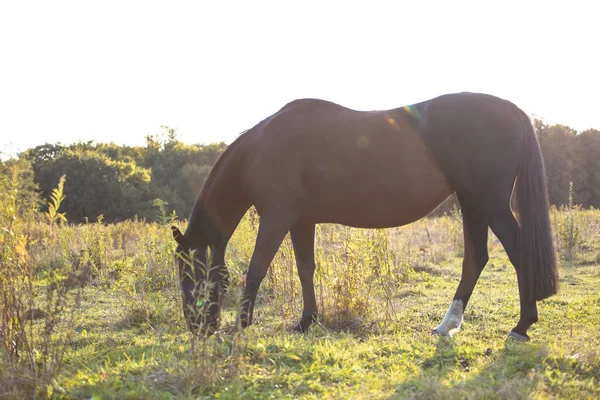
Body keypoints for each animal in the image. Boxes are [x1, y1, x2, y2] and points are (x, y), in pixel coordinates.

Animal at [171, 93, 560, 340]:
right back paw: (447, 325)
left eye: (189, 273)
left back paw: (522, 325)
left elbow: (256, 268)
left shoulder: (277, 218)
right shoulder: (301, 221)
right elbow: (305, 269)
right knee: (476, 258)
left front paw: (242, 324)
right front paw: (307, 321)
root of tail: (508, 108)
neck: (261, 150)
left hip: (489, 202)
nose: (198, 327)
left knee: (516, 252)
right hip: (472, 202)